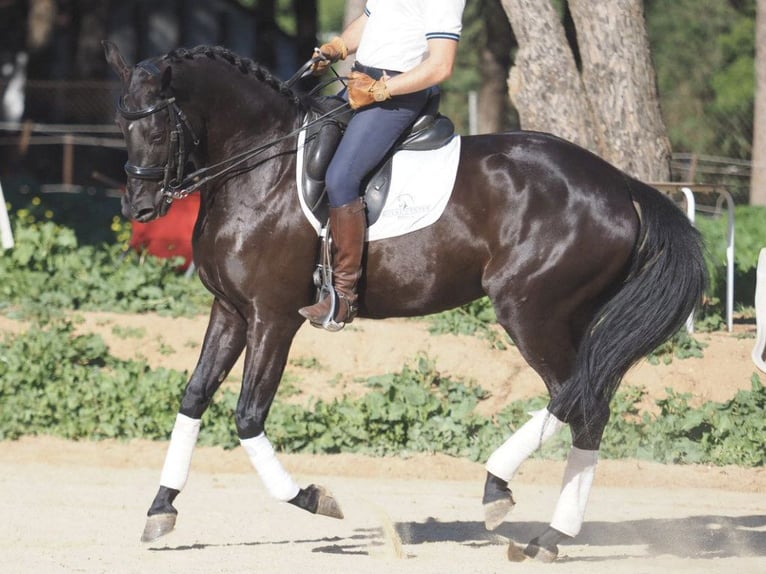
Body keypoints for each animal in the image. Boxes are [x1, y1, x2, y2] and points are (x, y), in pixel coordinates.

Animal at [103, 42, 708, 564]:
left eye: (157, 125)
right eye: (121, 123)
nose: (140, 206)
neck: (259, 170)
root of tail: (621, 185)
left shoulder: (272, 318)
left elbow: (248, 415)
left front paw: (315, 498)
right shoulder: (229, 311)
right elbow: (194, 398)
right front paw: (160, 510)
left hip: (530, 310)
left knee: (578, 399)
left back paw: (506, 499)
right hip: (564, 316)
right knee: (590, 403)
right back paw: (547, 535)